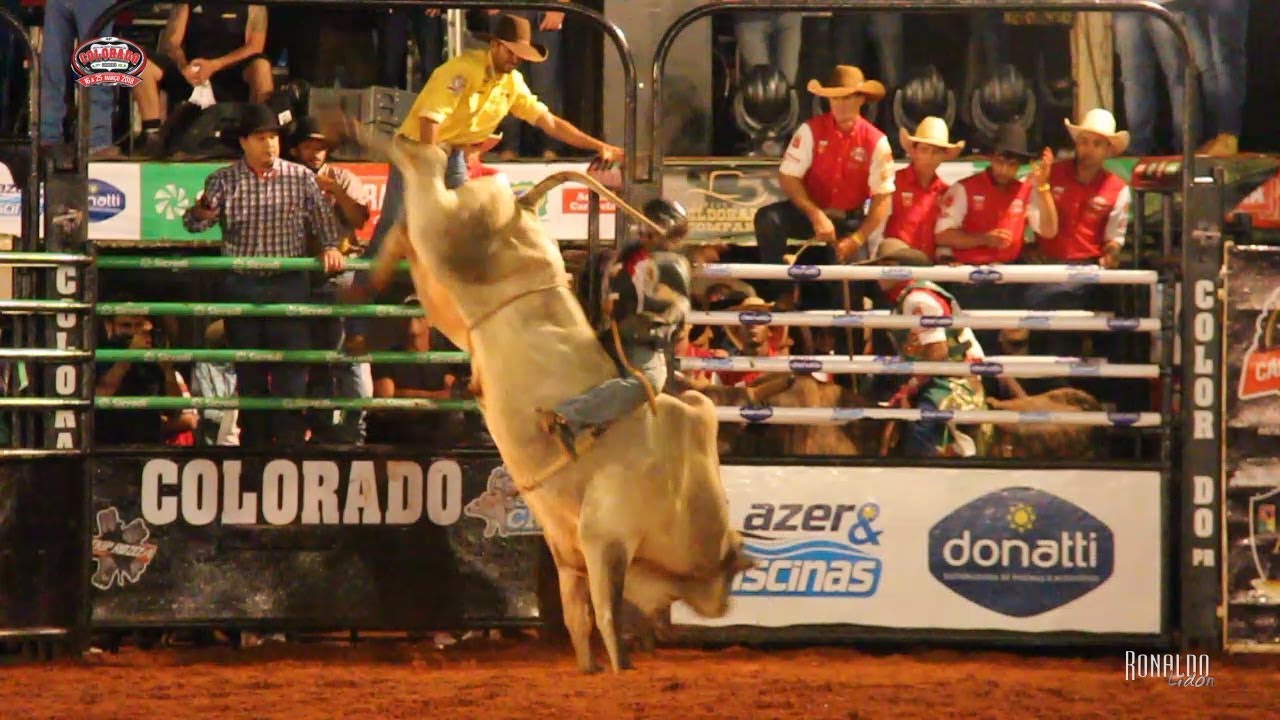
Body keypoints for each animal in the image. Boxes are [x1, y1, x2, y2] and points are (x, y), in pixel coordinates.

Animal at [345, 126, 752, 671]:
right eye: (730, 573)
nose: (724, 603)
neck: (680, 486)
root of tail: (519, 206)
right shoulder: (606, 538)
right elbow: (608, 615)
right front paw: (622, 667)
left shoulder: (567, 549)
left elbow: (578, 617)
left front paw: (588, 668)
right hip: (450, 232)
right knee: (421, 164)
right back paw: (382, 134)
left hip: (444, 289)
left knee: (410, 222)